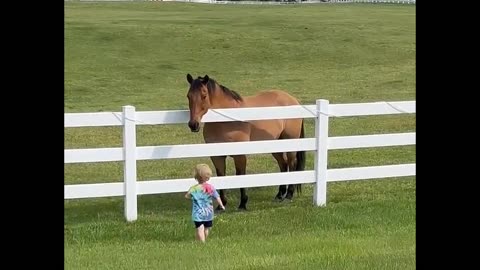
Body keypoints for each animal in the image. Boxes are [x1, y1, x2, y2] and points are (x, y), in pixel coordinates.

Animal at [186, 74, 306, 211]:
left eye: (204, 95)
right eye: (188, 96)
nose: (193, 124)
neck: (225, 121)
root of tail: (293, 99)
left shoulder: (240, 155)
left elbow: (241, 176)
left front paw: (243, 203)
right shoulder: (217, 156)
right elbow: (221, 176)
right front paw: (222, 205)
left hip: (290, 143)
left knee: (292, 164)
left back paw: (289, 195)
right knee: (283, 164)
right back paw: (280, 194)